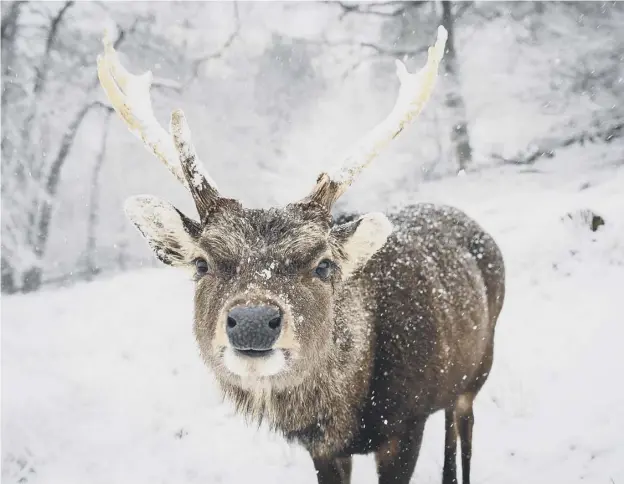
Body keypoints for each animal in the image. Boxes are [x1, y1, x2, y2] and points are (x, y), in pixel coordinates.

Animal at [97, 26, 508, 484]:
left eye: (324, 264)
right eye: (202, 263)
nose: (253, 321)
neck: (347, 414)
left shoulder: (405, 423)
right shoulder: (321, 448)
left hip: (480, 367)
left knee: (463, 427)